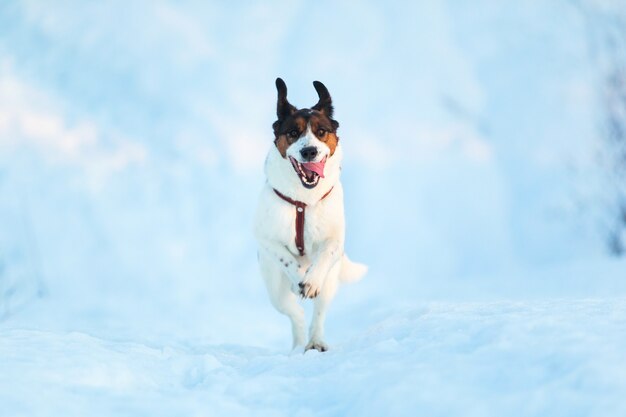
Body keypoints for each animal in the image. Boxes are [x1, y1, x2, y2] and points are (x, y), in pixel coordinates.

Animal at [254, 78, 366, 352]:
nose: (309, 152)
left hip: (331, 283)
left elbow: (326, 252)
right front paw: (300, 278)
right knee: (296, 313)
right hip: (275, 289)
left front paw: (311, 281)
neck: (304, 201)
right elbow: (285, 258)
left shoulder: (335, 240)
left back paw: (315, 342)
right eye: (293, 133)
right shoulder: (265, 238)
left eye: (321, 131)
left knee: (319, 312)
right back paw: (298, 344)